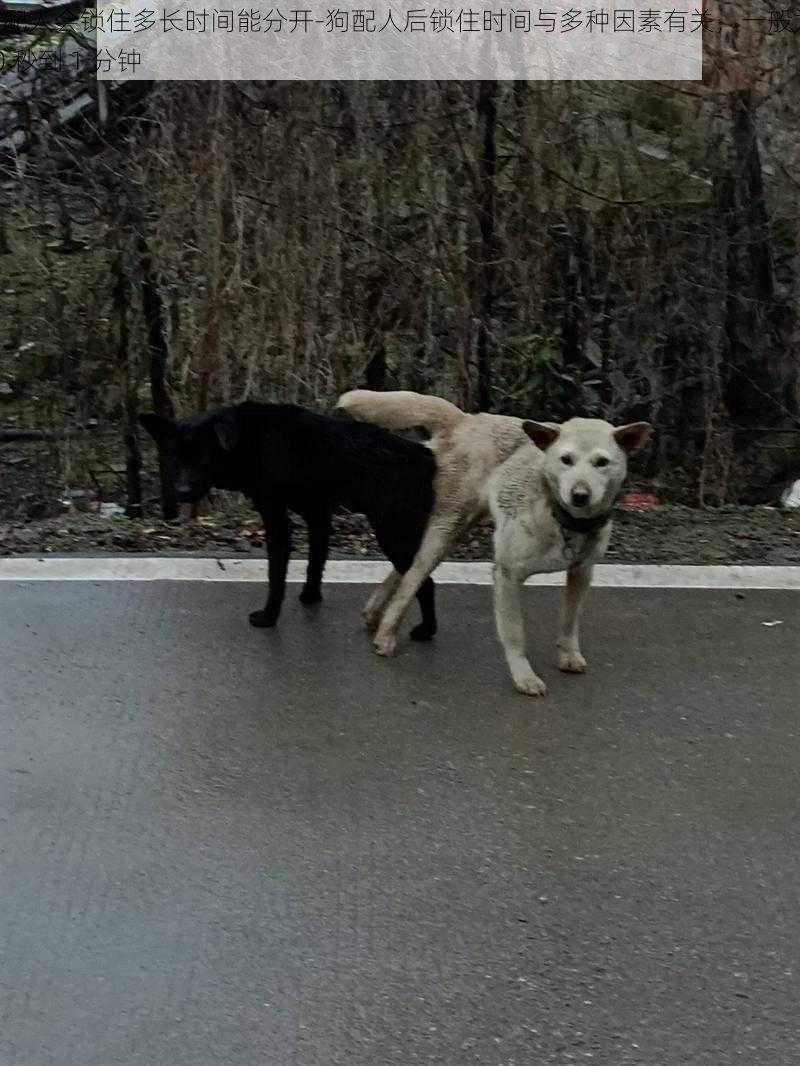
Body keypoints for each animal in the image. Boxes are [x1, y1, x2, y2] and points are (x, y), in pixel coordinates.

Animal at [138, 400, 439, 631]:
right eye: (174, 458)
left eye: (203, 458)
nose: (182, 492)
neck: (247, 441)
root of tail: (427, 457)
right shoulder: (317, 513)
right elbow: (315, 562)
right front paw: (310, 596)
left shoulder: (277, 519)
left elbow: (276, 574)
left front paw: (269, 617)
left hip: (391, 533)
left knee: (425, 582)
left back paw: (426, 631)